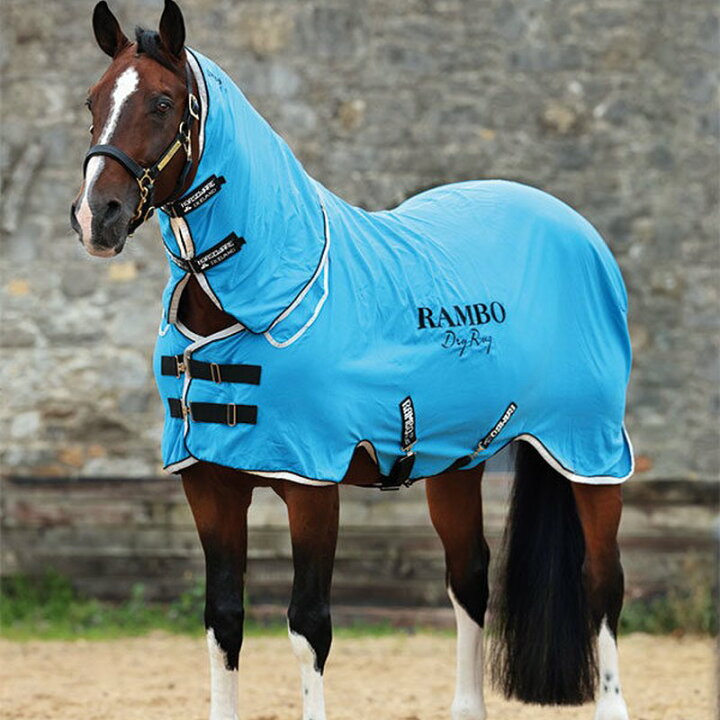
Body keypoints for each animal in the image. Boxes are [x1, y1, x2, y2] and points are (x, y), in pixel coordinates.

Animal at [70, 3, 633, 719]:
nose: (97, 217)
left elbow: (309, 625)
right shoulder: (209, 483)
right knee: (469, 579)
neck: (266, 293)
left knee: (601, 580)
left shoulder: (313, 484)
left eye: (163, 103)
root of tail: (576, 230)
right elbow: (223, 619)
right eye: (93, 102)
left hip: (590, 450)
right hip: (459, 463)